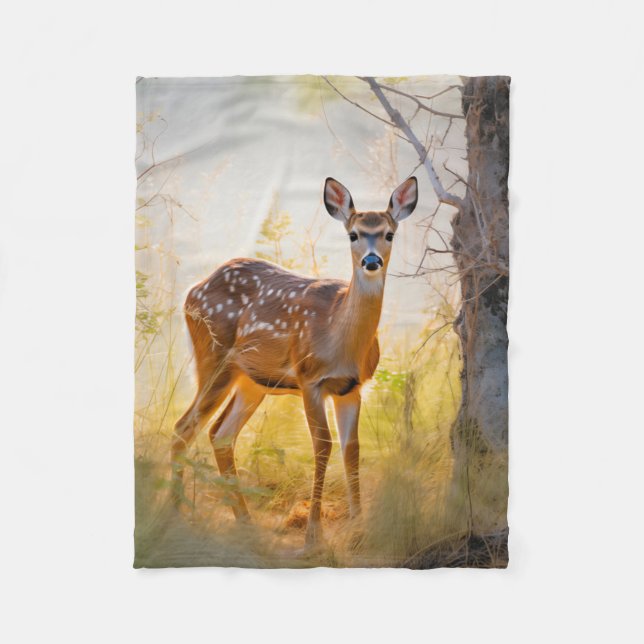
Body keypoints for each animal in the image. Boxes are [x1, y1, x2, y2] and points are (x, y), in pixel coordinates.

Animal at [171, 176, 418, 546]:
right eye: (353, 234)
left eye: (389, 234)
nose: (372, 261)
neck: (339, 338)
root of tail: (193, 290)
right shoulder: (309, 379)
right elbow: (323, 446)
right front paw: (313, 535)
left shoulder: (352, 387)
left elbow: (352, 449)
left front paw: (359, 528)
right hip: (213, 358)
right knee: (183, 428)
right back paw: (174, 514)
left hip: (253, 381)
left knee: (220, 434)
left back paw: (244, 522)